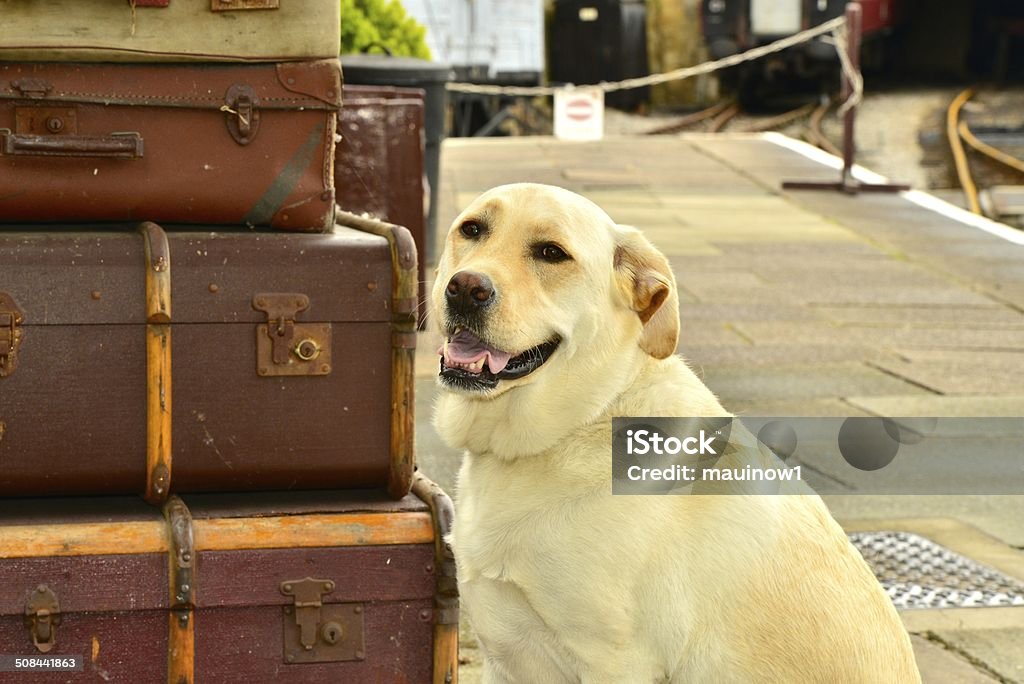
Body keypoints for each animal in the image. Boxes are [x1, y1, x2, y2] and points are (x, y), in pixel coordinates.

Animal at [432, 183, 921, 684]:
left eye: (552, 253)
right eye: (472, 229)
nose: (466, 288)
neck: (579, 423)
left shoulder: (613, 663)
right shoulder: (503, 659)